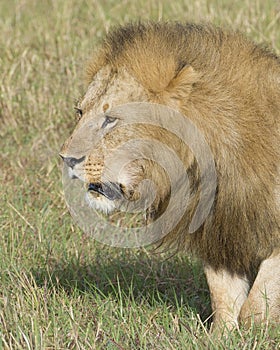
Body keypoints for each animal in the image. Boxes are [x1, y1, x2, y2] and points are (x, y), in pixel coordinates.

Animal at [60, 22, 280, 334]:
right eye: (80, 112)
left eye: (111, 119)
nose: (66, 159)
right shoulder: (219, 233)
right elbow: (224, 300)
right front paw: (221, 337)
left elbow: (255, 307)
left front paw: (257, 334)